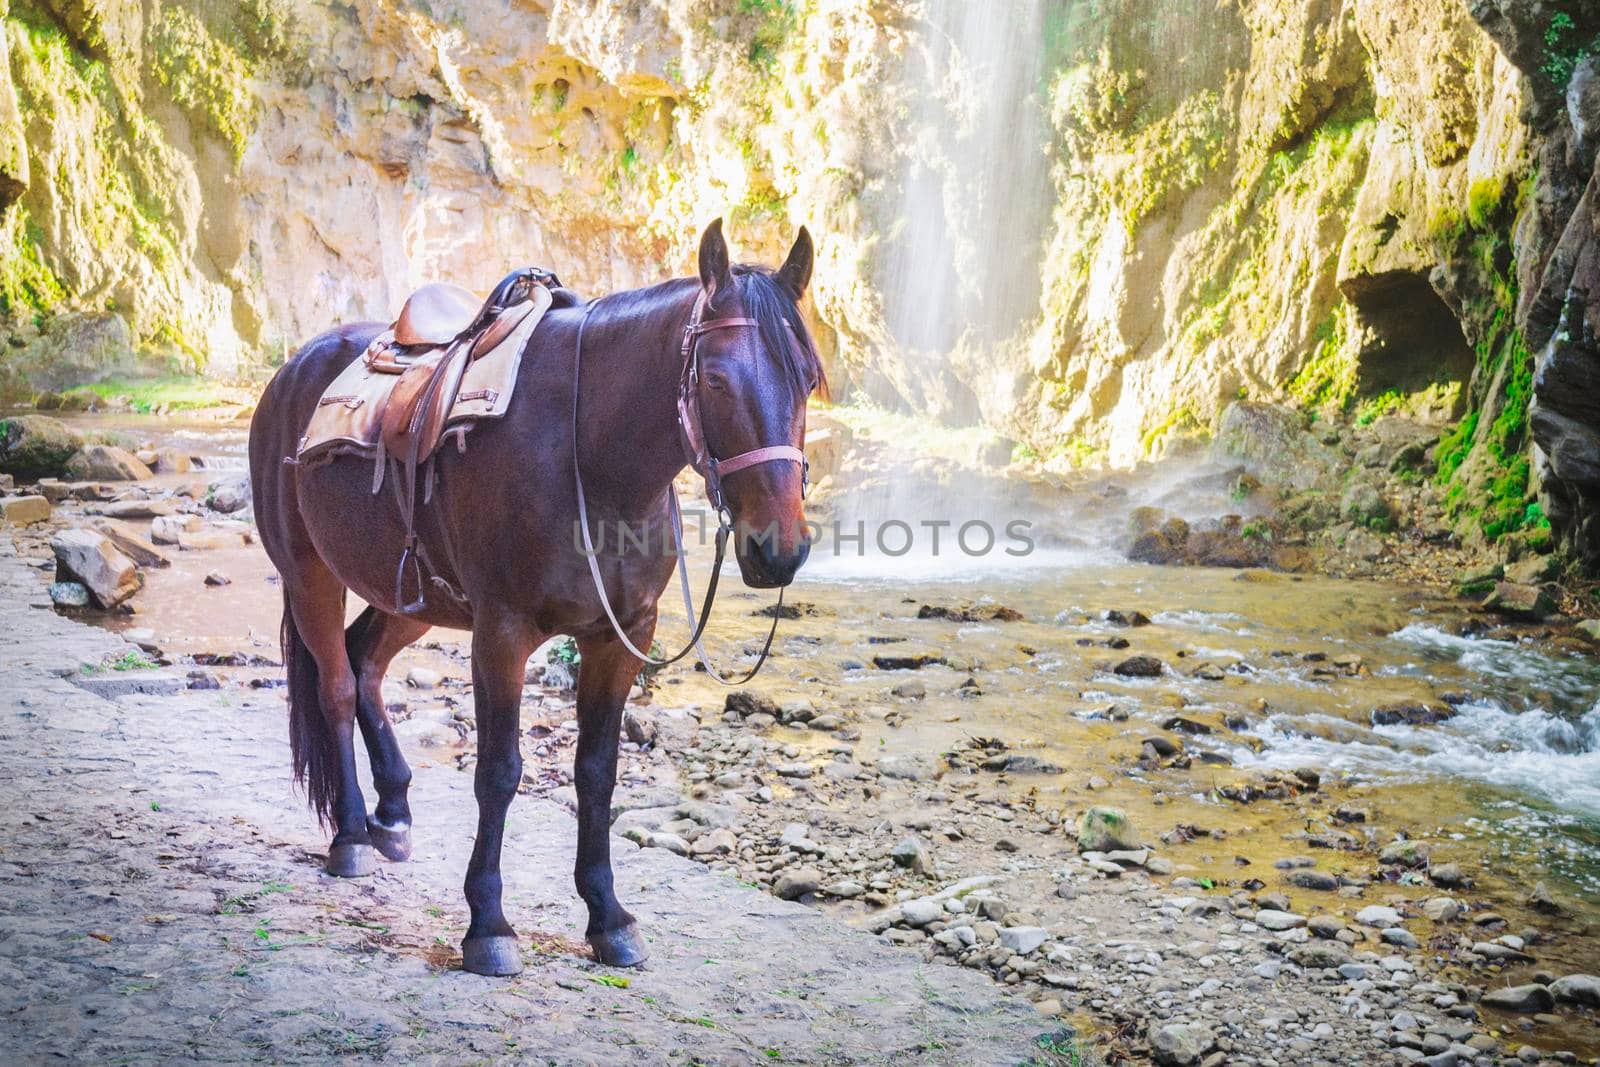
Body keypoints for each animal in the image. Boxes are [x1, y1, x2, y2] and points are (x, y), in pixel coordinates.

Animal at [252, 223, 825, 979]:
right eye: (714, 379)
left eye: (808, 379)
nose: (778, 548)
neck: (593, 461)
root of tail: (292, 370)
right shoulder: (502, 631)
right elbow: (499, 772)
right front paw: (489, 925)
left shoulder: (620, 635)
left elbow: (597, 772)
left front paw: (609, 916)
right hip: (310, 574)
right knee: (339, 686)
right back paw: (349, 834)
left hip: (411, 596)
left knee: (366, 661)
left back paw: (393, 812)